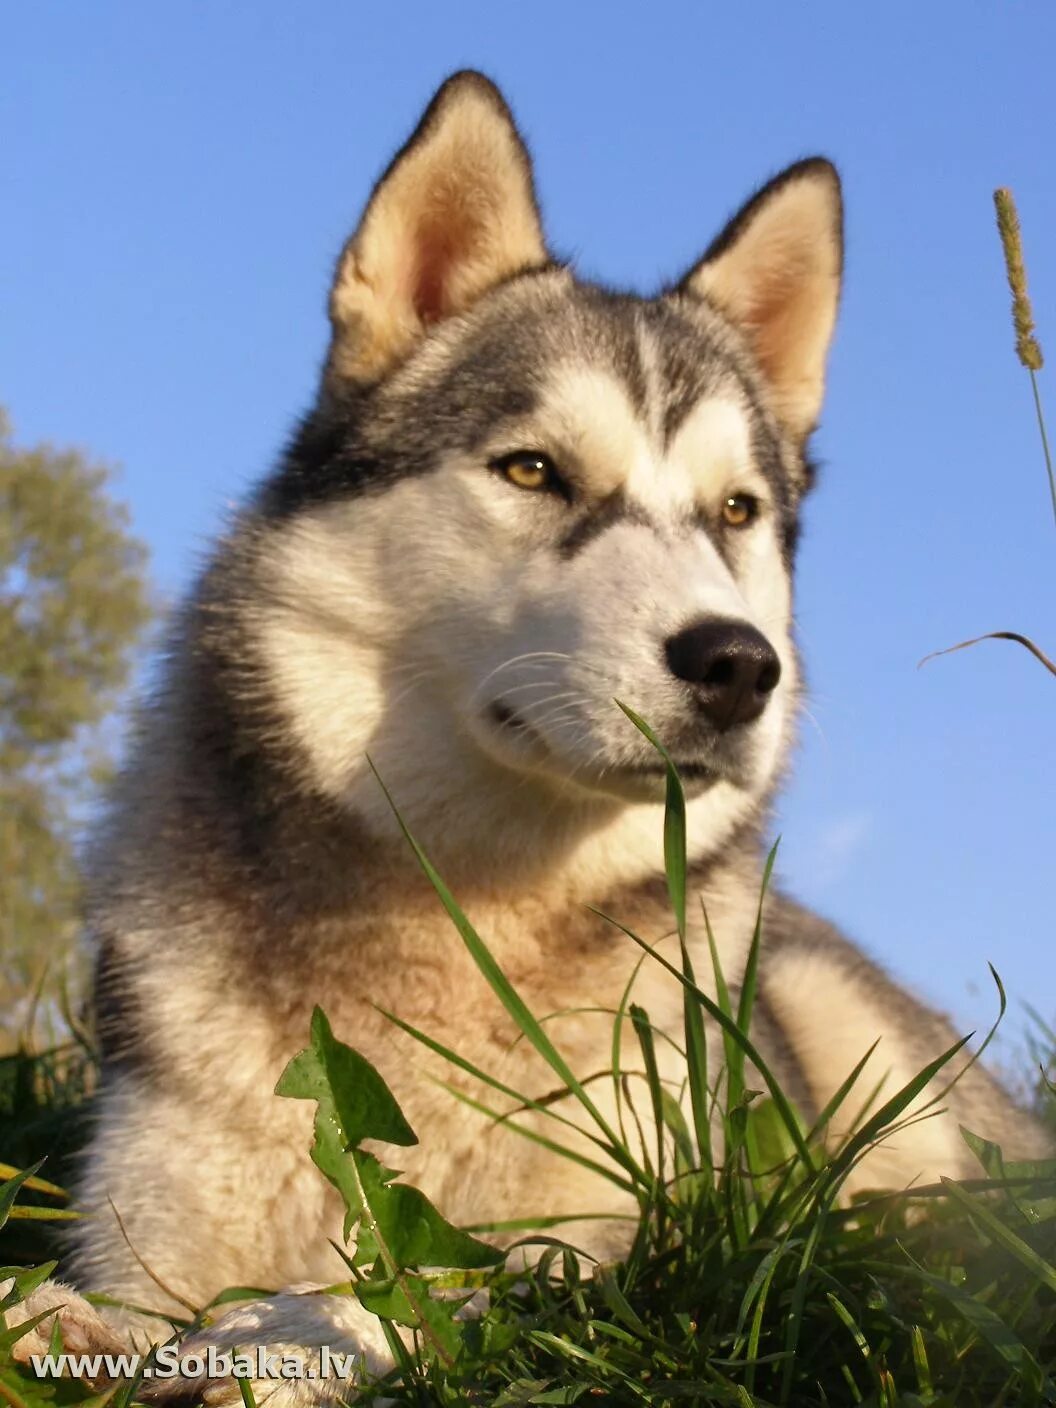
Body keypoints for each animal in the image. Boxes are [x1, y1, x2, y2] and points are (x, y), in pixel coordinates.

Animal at [12, 68, 1053, 1396]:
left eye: (736, 511)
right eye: (532, 471)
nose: (738, 666)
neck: (475, 907)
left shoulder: (619, 1256)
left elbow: (438, 1287)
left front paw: (291, 1330)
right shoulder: (145, 1212)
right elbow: (110, 1290)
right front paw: (58, 1319)